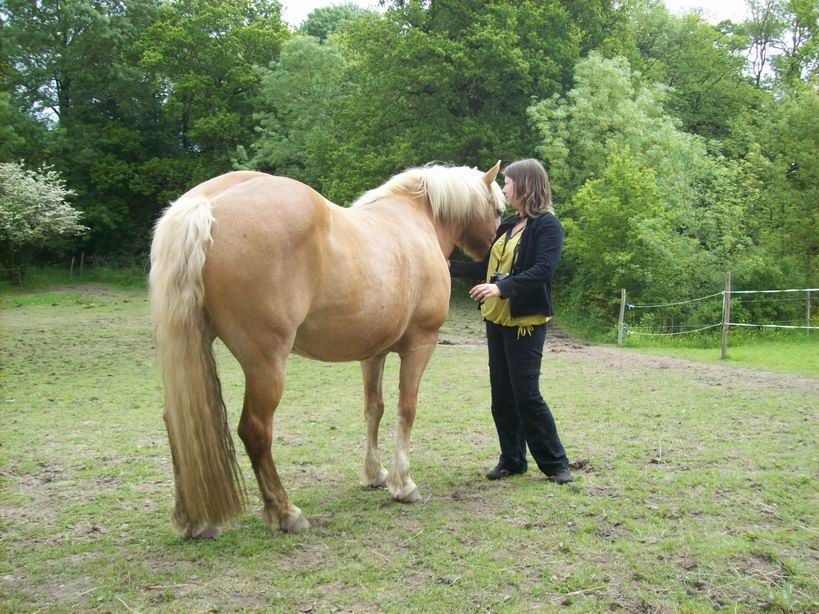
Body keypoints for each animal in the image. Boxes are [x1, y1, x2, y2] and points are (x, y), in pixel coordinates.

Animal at [149, 162, 505, 538]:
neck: (416, 218)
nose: (491, 254)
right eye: (497, 209)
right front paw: (404, 484)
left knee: (179, 423)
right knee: (255, 430)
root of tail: (206, 204)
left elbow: (374, 409)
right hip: (266, 363)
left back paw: (194, 520)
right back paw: (286, 513)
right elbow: (406, 410)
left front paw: (375, 475)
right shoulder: (420, 344)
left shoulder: (373, 353)